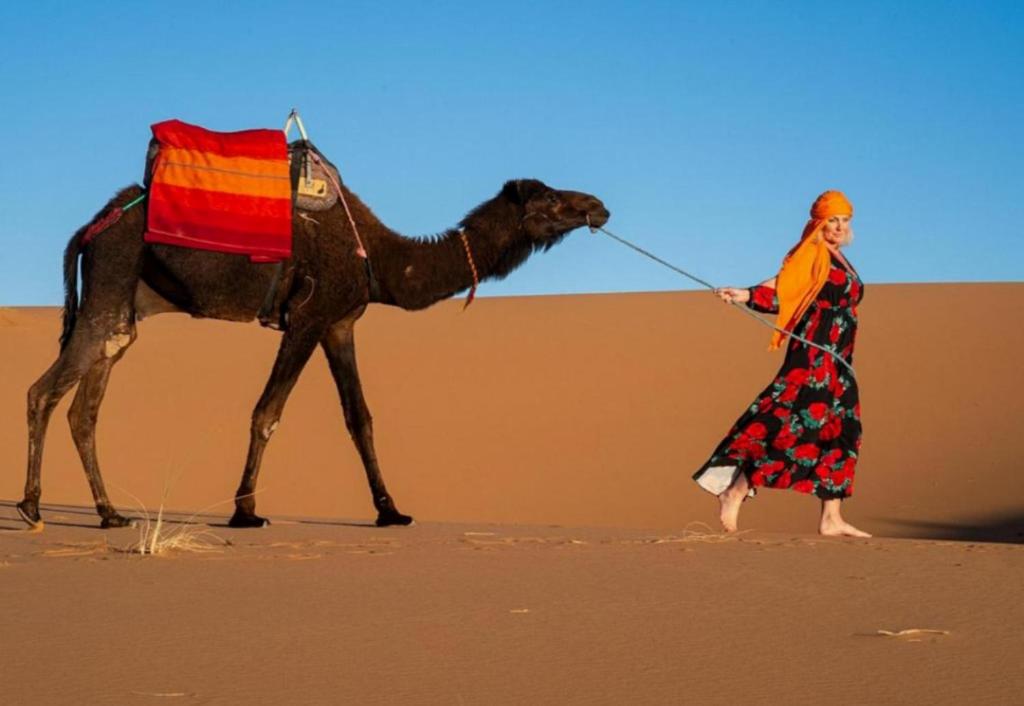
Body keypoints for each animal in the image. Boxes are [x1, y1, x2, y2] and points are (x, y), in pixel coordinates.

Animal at [19, 175, 609, 529]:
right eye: (550, 198)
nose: (598, 206)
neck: (383, 261)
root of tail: (89, 229)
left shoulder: (339, 324)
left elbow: (359, 417)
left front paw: (391, 511)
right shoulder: (305, 317)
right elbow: (267, 412)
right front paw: (246, 511)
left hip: (125, 312)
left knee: (84, 409)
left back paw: (110, 514)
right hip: (109, 287)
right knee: (43, 392)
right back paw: (31, 508)